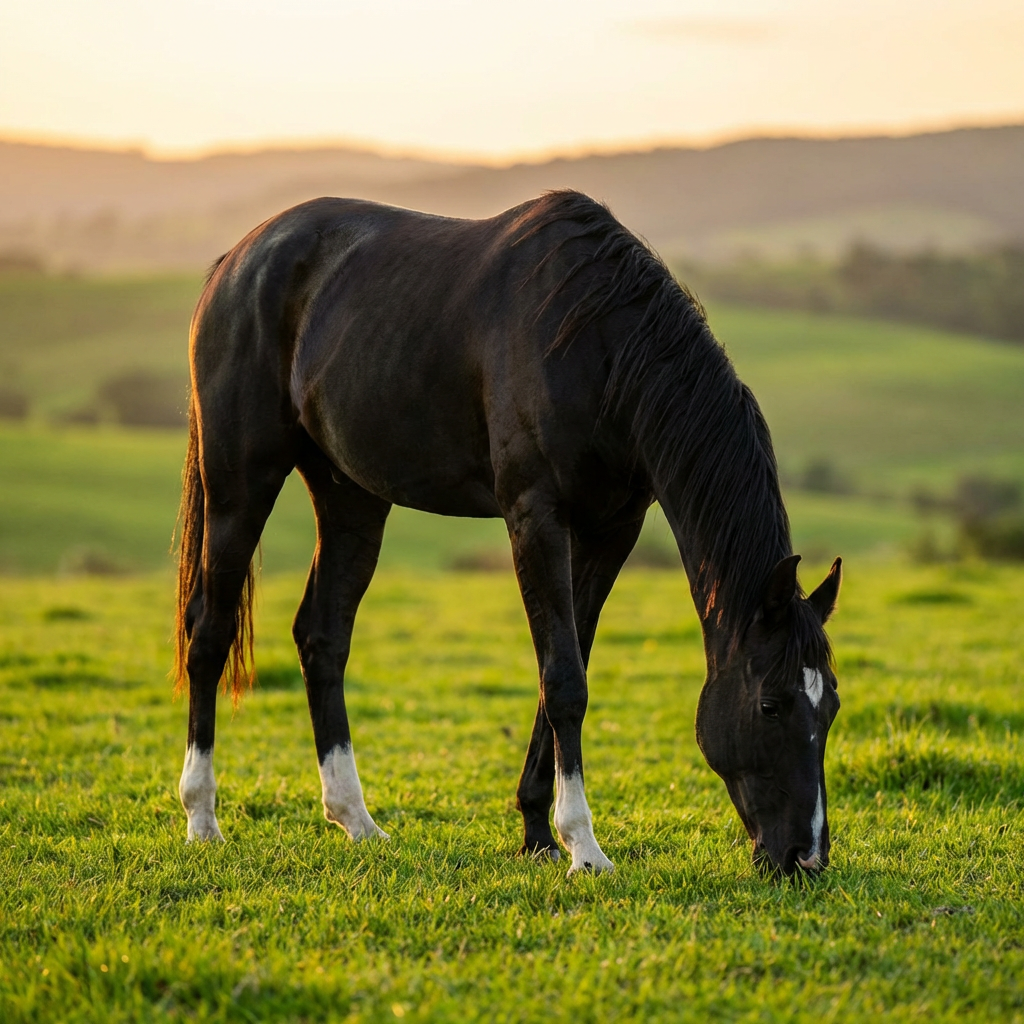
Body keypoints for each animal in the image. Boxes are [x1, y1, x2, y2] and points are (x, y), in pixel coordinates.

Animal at [173, 190, 842, 876]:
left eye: (831, 707)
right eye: (770, 704)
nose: (806, 857)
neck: (596, 346)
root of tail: (238, 260)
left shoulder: (612, 530)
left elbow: (565, 669)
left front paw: (538, 834)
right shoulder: (535, 515)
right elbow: (565, 680)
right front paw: (583, 847)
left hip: (349, 495)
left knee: (323, 637)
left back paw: (355, 819)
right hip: (239, 483)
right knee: (209, 632)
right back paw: (202, 819)